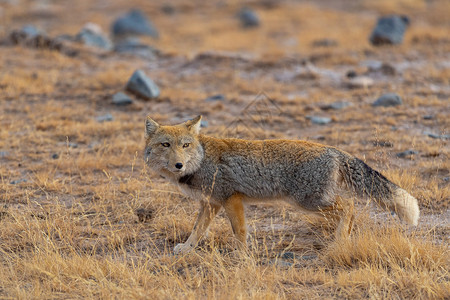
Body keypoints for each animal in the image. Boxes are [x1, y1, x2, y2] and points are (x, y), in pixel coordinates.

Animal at [143, 116, 418, 254]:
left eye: (185, 145)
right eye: (166, 145)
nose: (178, 165)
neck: (201, 159)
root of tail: (333, 149)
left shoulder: (231, 199)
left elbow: (239, 231)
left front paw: (241, 256)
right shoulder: (210, 204)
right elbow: (197, 230)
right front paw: (187, 249)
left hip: (310, 202)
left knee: (349, 206)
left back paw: (340, 238)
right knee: (349, 208)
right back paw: (344, 238)